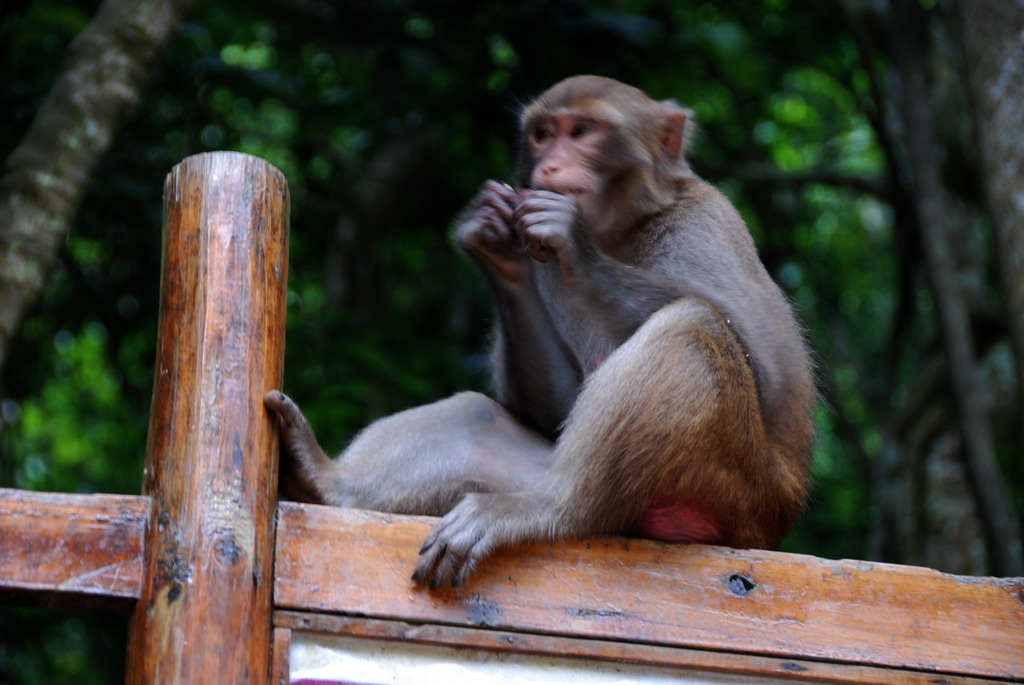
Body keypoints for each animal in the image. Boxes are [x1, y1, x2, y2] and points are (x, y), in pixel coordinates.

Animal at [264, 74, 815, 589]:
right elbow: (554, 409)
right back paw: (324, 481)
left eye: (583, 132)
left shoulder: (706, 222)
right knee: (477, 415)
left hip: (736, 492)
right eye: (543, 135)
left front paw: (574, 241)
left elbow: (770, 374)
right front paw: (494, 244)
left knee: (692, 325)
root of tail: (768, 530)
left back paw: (551, 507)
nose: (548, 167)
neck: (621, 228)